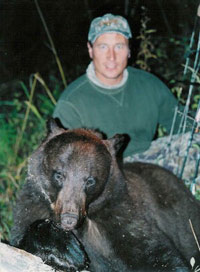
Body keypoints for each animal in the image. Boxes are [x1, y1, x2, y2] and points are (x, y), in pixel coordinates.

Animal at [10, 120, 200, 270]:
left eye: (90, 181)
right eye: (59, 175)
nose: (69, 219)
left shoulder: (120, 219)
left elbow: (158, 255)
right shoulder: (32, 206)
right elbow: (21, 241)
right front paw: (69, 251)